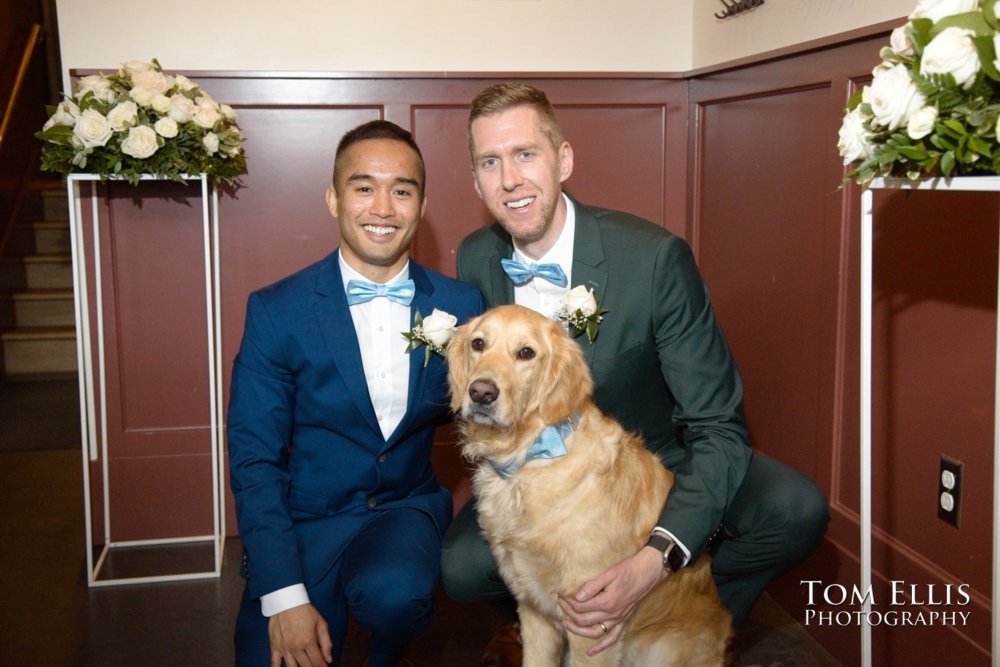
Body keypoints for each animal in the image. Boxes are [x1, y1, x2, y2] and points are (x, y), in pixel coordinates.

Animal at [450, 306, 732, 667]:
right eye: (478, 344)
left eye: (526, 353)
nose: (481, 393)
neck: (531, 454)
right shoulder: (532, 607)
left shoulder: (591, 623)